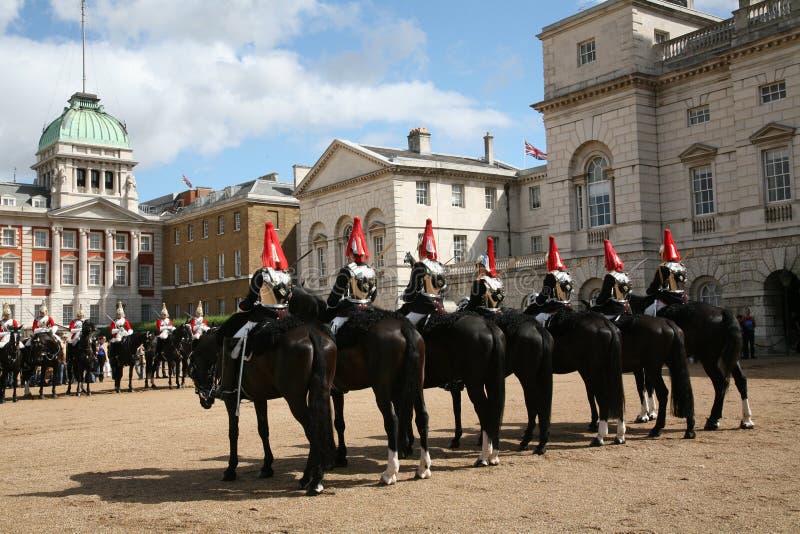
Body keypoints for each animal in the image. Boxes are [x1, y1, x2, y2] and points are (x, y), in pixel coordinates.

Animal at [188, 318, 336, 496]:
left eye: (192, 363)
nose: (204, 399)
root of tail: (311, 331)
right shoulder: (259, 398)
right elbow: (263, 430)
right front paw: (266, 467)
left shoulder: (231, 401)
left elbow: (233, 433)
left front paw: (230, 469)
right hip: (321, 391)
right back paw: (312, 476)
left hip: (295, 400)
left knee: (313, 432)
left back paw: (312, 479)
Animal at [290, 287, 431, 484]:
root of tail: (404, 327)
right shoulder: (336, 391)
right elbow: (338, 422)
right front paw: (339, 457)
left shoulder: (331, 390)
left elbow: (333, 422)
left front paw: (333, 458)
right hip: (417, 384)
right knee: (422, 417)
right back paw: (423, 468)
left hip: (382, 388)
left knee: (392, 420)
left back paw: (390, 472)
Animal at [447, 309, 554, 455]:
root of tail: (537, 327)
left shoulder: (459, 386)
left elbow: (458, 410)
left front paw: (458, 439)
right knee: (538, 404)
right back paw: (537, 443)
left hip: (526, 377)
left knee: (534, 404)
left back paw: (530, 442)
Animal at [523, 303, 626, 446]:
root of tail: (606, 323)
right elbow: (590, 395)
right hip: (603, 371)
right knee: (615, 397)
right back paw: (619, 435)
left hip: (593, 372)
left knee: (603, 399)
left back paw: (600, 436)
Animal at [629, 295, 751, 431]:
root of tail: (722, 311)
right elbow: (648, 386)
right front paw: (651, 413)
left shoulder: (640, 366)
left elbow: (641, 387)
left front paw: (644, 415)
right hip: (730, 358)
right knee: (740, 380)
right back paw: (746, 420)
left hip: (709, 360)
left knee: (721, 383)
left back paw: (713, 419)